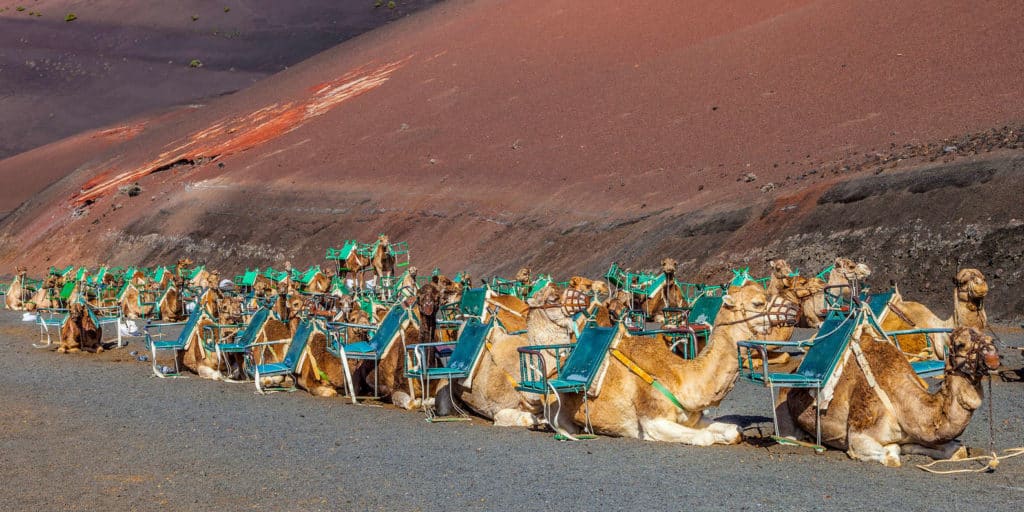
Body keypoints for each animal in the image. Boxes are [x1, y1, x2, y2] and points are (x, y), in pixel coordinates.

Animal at [552, 280, 790, 444]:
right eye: (758, 303)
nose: (791, 310)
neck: (681, 378)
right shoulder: (652, 421)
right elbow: (703, 437)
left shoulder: (692, 417)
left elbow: (734, 430)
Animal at [778, 325, 995, 466]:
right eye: (960, 344)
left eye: (990, 340)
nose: (992, 357)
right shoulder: (858, 435)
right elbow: (892, 455)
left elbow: (958, 450)